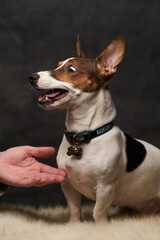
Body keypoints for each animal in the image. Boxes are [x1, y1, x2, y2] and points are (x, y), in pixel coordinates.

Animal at [29, 36, 160, 222]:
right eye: (58, 65)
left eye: (71, 69)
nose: (31, 77)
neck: (82, 134)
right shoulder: (68, 185)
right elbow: (74, 209)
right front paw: (74, 224)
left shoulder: (105, 188)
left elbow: (98, 212)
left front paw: (101, 225)